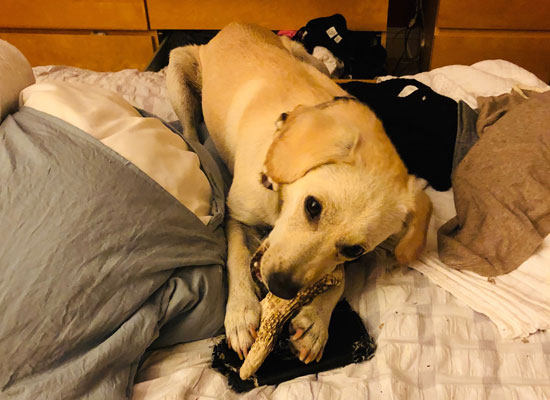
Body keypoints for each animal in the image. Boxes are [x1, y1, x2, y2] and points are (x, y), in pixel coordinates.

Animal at [166, 23, 434, 364]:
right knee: (189, 131)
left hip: (310, 58)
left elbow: (338, 277)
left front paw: (316, 321)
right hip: (178, 72)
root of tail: (234, 26)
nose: (281, 287)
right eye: (312, 206)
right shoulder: (237, 216)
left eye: (354, 250)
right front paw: (240, 313)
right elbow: (237, 256)